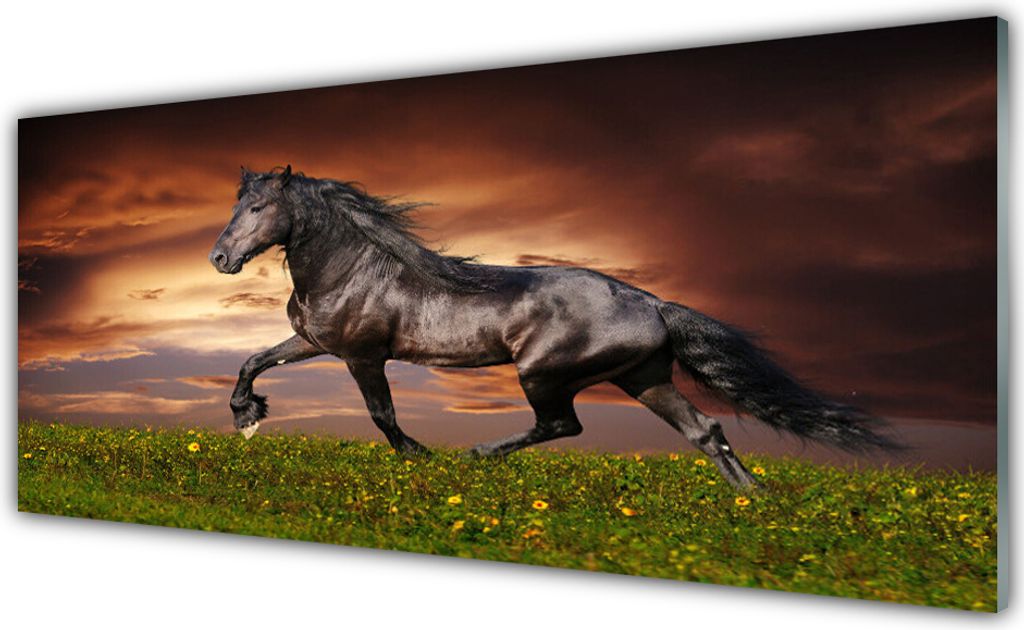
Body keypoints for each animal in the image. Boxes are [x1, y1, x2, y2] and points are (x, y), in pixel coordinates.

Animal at [209, 166, 900, 490]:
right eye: (237, 205)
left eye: (259, 207)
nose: (219, 258)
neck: (354, 268)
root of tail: (653, 302)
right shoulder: (315, 342)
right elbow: (252, 361)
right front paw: (248, 416)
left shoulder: (360, 354)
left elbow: (382, 416)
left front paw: (422, 457)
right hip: (643, 379)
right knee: (705, 430)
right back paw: (753, 500)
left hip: (544, 373)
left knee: (562, 425)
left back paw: (478, 455)